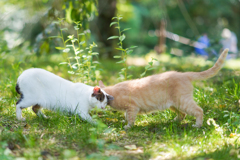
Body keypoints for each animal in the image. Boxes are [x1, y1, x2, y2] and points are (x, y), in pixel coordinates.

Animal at [99, 48, 229, 129]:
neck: (113, 92)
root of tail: (184, 74)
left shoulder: (132, 107)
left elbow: (130, 118)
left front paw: (127, 126)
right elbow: (126, 116)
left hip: (183, 102)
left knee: (199, 110)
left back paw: (197, 125)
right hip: (174, 104)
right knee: (183, 114)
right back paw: (172, 122)